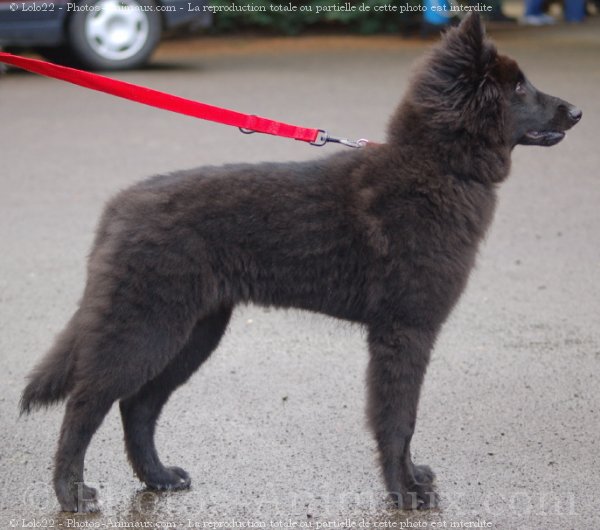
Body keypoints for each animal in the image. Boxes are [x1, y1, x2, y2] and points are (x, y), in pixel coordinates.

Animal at [19, 14, 580, 512]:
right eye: (519, 88)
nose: (576, 112)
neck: (439, 165)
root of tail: (119, 207)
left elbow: (403, 420)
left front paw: (413, 480)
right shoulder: (405, 332)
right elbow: (398, 419)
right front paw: (404, 494)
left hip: (193, 333)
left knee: (137, 406)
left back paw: (157, 477)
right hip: (146, 328)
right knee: (85, 406)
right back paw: (71, 495)